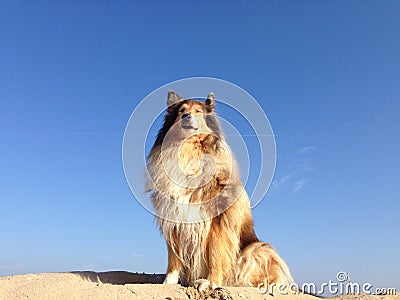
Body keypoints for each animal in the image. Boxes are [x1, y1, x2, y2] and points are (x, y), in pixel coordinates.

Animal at [145, 91, 294, 290]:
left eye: (198, 111)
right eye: (181, 111)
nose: (186, 116)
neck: (189, 151)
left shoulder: (218, 221)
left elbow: (216, 253)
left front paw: (211, 282)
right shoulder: (174, 218)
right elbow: (173, 258)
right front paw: (168, 282)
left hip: (256, 249)